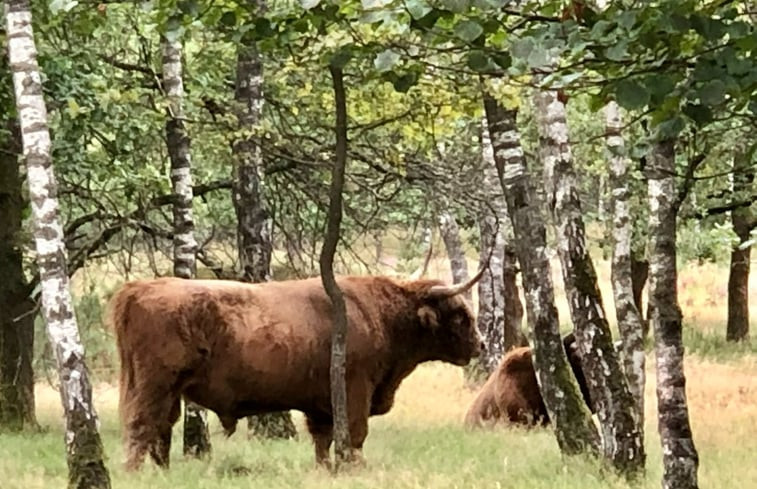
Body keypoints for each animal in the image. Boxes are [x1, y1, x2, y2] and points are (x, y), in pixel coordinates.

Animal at [112, 270, 484, 468]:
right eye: (459, 315)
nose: (480, 345)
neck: (380, 315)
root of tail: (139, 288)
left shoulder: (320, 405)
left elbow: (323, 441)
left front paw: (326, 470)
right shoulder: (355, 391)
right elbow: (354, 436)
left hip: (169, 391)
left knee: (161, 432)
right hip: (155, 384)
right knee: (142, 427)